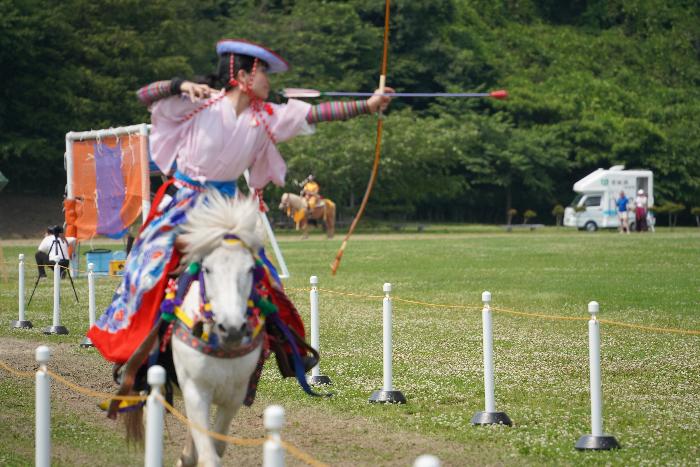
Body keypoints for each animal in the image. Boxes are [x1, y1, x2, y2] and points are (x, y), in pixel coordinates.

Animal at [172, 191, 266, 467]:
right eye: (207, 268)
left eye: (250, 268)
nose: (232, 329)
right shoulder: (195, 391)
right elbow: (208, 456)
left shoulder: (235, 395)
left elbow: (218, 445)